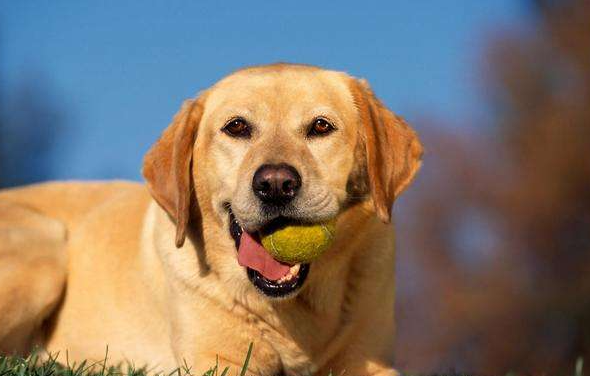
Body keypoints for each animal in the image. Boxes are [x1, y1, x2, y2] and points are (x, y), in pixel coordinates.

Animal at [0, 64, 426, 376]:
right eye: (236, 127)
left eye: (321, 126)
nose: (275, 184)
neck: (293, 310)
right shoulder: (218, 363)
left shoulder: (368, 360)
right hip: (44, 247)